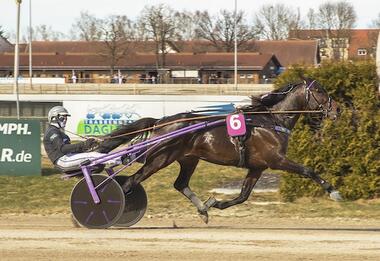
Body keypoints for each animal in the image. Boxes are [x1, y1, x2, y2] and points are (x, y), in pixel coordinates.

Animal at [97, 78, 342, 222]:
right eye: (319, 91)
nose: (337, 110)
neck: (271, 121)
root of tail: (161, 122)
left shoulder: (257, 167)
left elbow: (243, 196)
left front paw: (216, 203)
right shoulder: (276, 160)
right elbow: (308, 170)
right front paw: (334, 192)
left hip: (188, 159)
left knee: (180, 184)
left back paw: (203, 210)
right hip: (160, 158)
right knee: (130, 182)